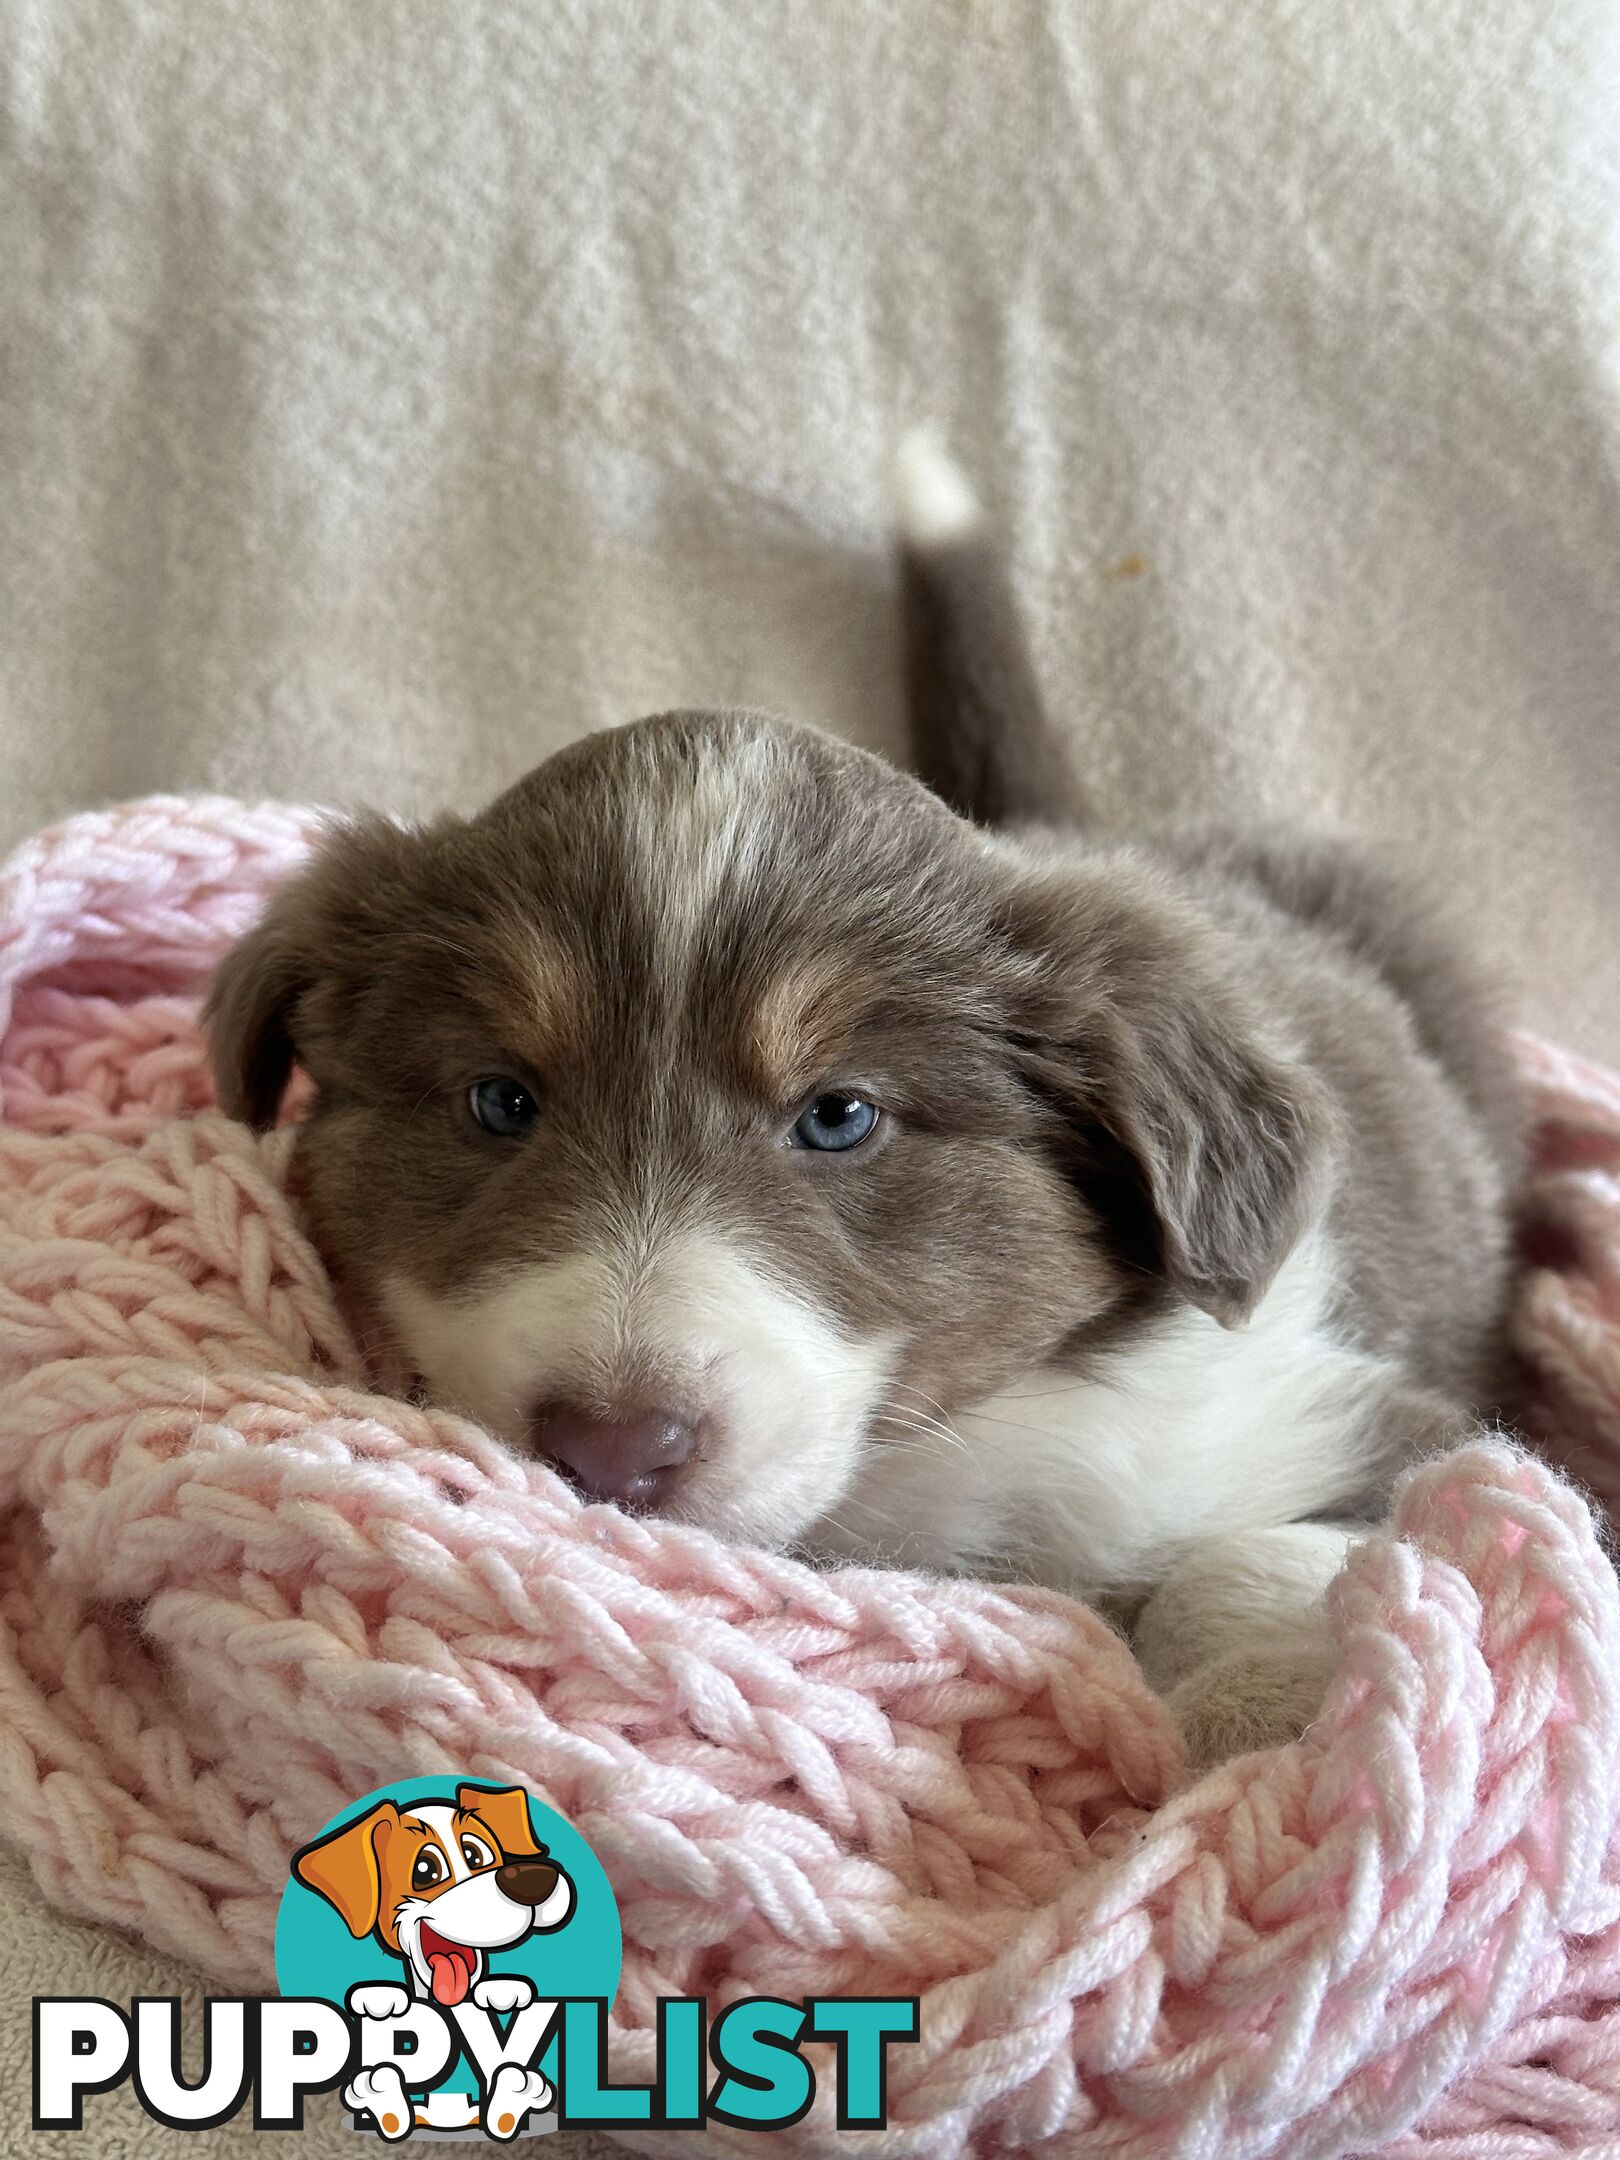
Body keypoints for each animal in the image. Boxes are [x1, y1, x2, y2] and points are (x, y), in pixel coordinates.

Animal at [206, 447, 1520, 1762]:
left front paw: (1249, 1713)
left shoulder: (1361, 1415)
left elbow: (1259, 1554)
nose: (615, 1450)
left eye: (839, 1118)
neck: (928, 1463)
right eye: (499, 1100)